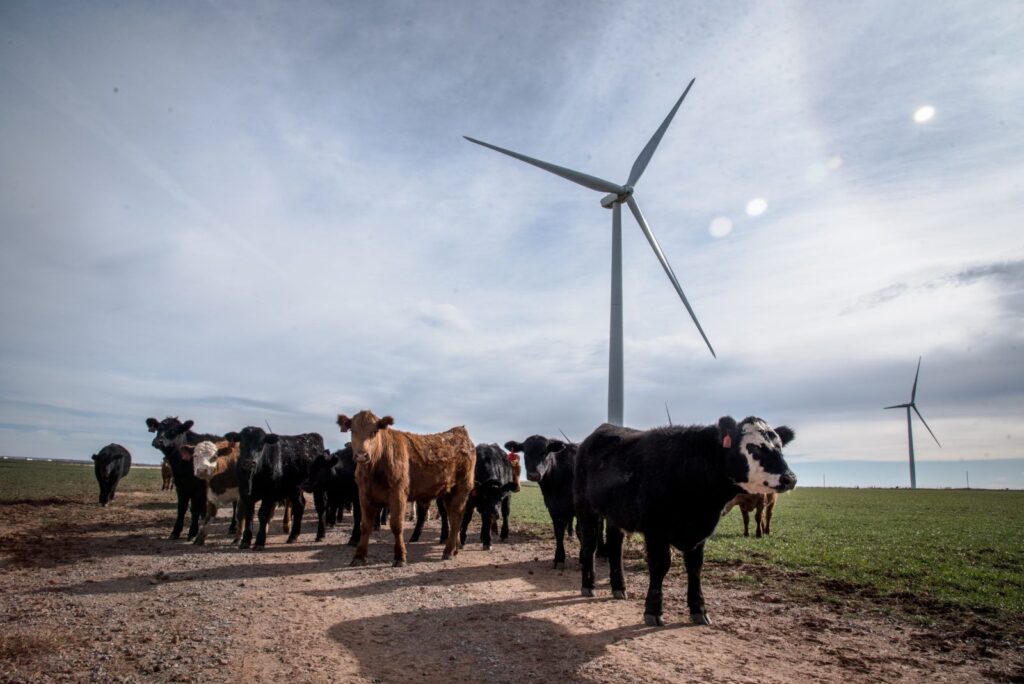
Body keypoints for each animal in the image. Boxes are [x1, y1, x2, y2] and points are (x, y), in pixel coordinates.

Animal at [337, 411, 477, 565]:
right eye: (353, 431)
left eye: (374, 431)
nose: (361, 455)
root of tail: (460, 433)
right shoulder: (364, 495)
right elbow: (365, 526)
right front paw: (359, 556)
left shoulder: (398, 493)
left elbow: (396, 525)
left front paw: (400, 556)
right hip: (448, 492)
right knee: (453, 517)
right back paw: (455, 548)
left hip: (463, 487)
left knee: (457, 517)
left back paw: (448, 551)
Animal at [573, 413, 794, 626]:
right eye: (754, 447)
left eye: (780, 447)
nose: (789, 478)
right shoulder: (656, 530)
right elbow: (660, 565)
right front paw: (653, 611)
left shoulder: (700, 532)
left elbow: (695, 568)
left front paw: (699, 609)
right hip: (586, 506)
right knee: (590, 545)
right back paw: (588, 585)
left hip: (615, 514)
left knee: (615, 547)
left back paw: (619, 587)